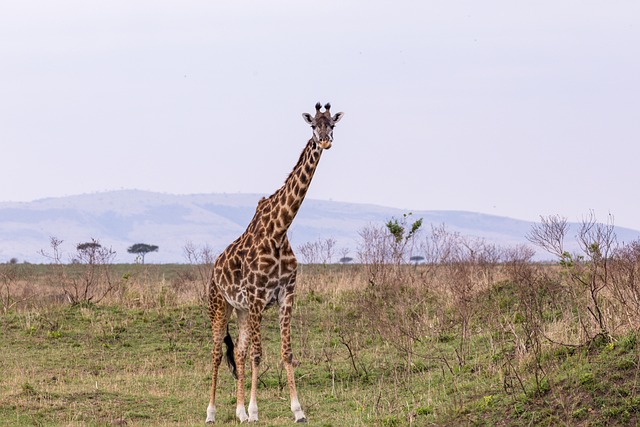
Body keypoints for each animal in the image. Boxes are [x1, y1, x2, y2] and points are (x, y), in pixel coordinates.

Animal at [206, 101, 344, 424]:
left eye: (332, 124)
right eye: (312, 125)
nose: (325, 141)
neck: (279, 231)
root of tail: (214, 268)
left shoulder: (286, 294)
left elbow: (286, 352)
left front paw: (297, 410)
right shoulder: (258, 297)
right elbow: (259, 355)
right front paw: (256, 411)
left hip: (241, 311)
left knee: (239, 352)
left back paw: (239, 412)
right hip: (220, 305)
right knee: (217, 353)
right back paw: (212, 412)